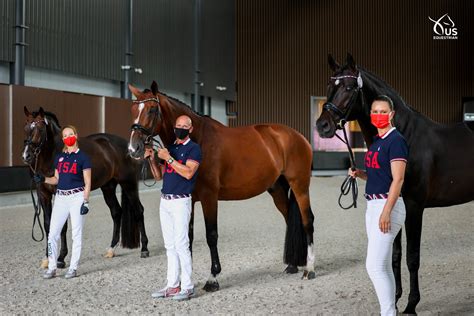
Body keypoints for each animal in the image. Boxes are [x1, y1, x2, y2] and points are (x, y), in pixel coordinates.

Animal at [20, 107, 148, 270]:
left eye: (41, 129)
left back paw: (144, 249)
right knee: (116, 212)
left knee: (138, 211)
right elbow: (48, 224)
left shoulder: (61, 193)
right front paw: (47, 258)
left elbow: (62, 226)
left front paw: (60, 258)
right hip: (108, 187)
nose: (26, 155)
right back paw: (111, 249)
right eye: (25, 127)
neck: (52, 156)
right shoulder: (43, 194)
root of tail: (129, 147)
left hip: (128, 184)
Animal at [128, 81, 316, 292]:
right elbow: (188, 237)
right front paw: (187, 282)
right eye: (133, 109)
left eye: (152, 109)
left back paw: (310, 269)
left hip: (300, 186)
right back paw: (292, 265)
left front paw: (212, 279)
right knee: (290, 220)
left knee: (307, 221)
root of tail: (297, 136)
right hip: (278, 191)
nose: (134, 148)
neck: (198, 138)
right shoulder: (189, 199)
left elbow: (211, 235)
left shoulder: (209, 197)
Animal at [314, 53, 474, 314]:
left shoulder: (414, 206)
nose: (322, 126)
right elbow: (396, 254)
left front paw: (411, 304)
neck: (407, 136)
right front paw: (396, 297)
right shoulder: (394, 205)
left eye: (348, 87)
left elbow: (412, 257)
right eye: (329, 86)